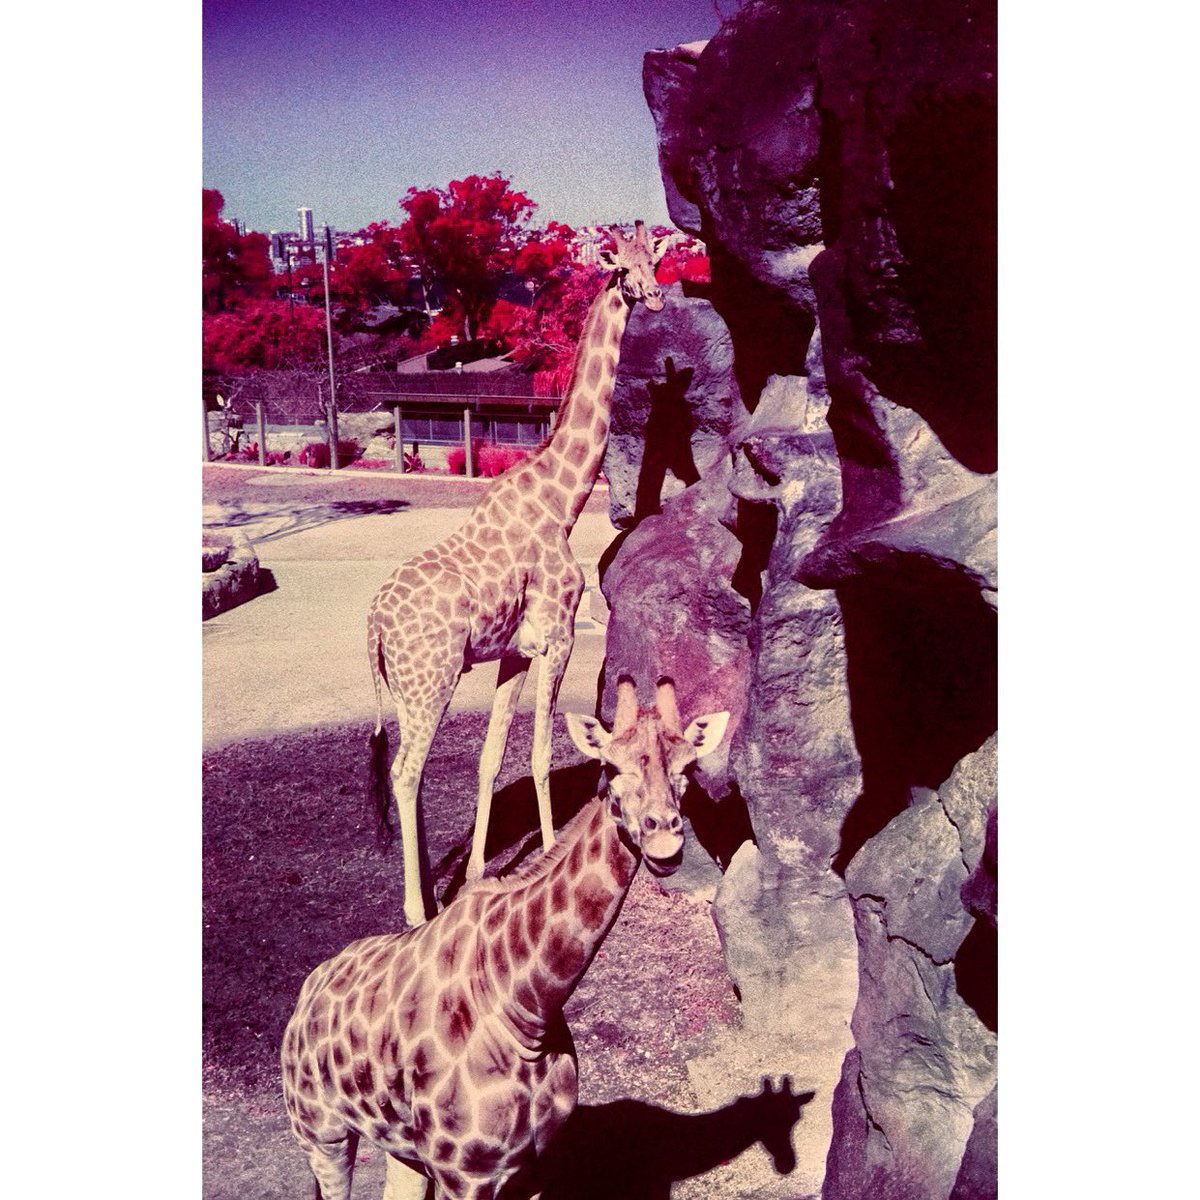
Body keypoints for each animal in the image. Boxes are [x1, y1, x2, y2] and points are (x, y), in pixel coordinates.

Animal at [283, 677, 730, 1200]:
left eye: (688, 766)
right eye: (610, 767)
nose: (665, 843)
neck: (525, 1009)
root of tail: (306, 995)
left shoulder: (531, 1163)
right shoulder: (464, 1175)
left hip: (399, 1144)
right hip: (321, 1133)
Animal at [367, 223, 667, 928]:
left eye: (654, 258)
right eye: (623, 268)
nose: (656, 295)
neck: (563, 498)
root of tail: (373, 625)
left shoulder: (510, 653)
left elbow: (489, 757)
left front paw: (478, 873)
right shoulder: (557, 639)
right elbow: (539, 753)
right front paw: (554, 852)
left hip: (411, 689)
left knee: (412, 772)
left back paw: (435, 889)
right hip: (430, 682)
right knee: (404, 772)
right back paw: (415, 911)